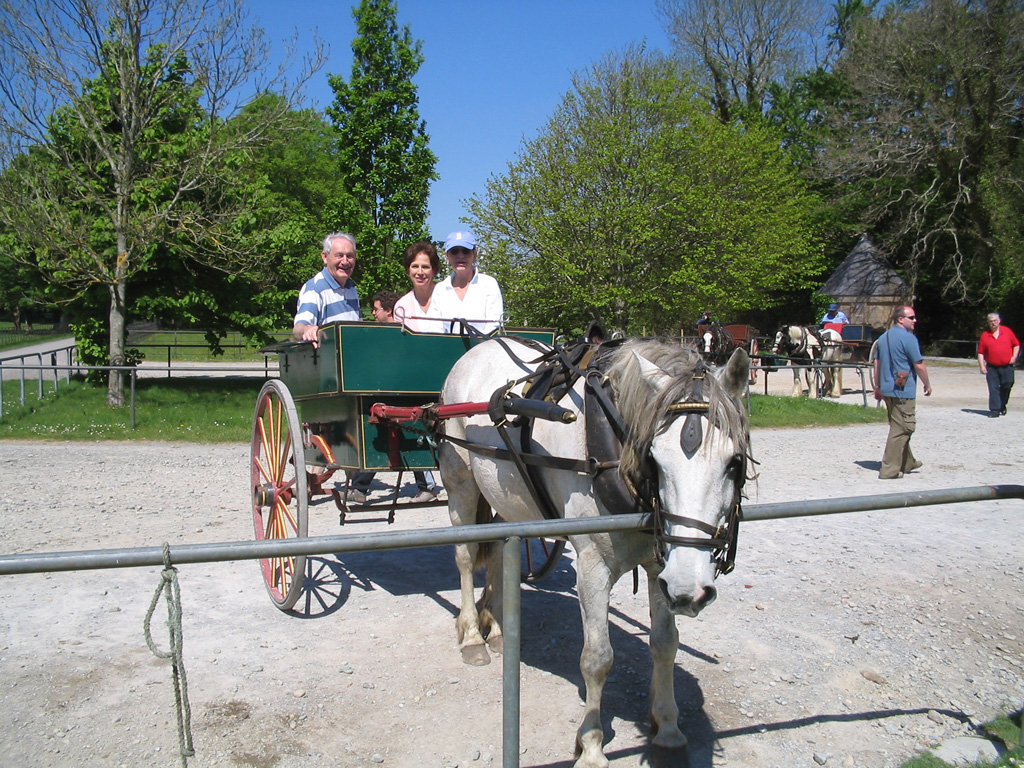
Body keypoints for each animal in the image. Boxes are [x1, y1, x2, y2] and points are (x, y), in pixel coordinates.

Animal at [440, 339, 753, 768]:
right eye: (654, 459)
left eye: (734, 462)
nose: (689, 589)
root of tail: (481, 345)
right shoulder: (592, 567)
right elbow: (598, 659)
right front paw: (590, 746)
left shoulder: (659, 563)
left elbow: (665, 644)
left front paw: (668, 728)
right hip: (461, 481)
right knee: (466, 556)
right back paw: (472, 634)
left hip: (505, 496)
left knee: (503, 550)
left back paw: (501, 628)